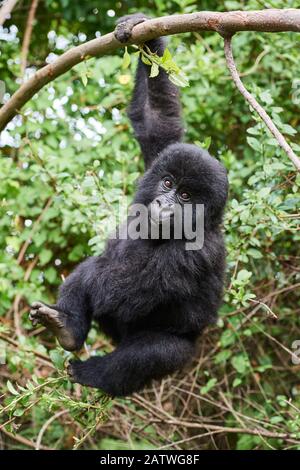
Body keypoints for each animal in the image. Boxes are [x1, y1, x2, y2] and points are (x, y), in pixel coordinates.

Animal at [29, 13, 229, 396]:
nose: (164, 201)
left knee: (146, 354)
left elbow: (120, 289)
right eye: (168, 183)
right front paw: (141, 31)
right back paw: (68, 327)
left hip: (180, 351)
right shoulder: (161, 155)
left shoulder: (195, 253)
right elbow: (156, 118)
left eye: (185, 197)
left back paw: (93, 371)